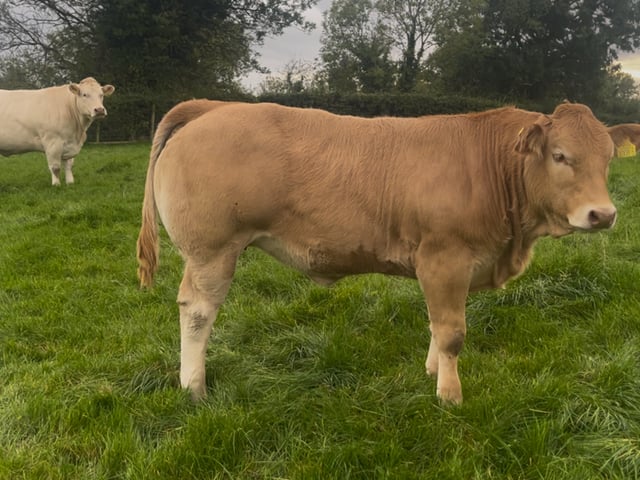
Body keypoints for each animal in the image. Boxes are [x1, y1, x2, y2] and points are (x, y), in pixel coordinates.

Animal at [136, 100, 617, 405]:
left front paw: (433, 371)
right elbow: (452, 332)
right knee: (197, 312)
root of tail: (213, 106)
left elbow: (437, 323)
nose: (603, 214)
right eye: (560, 155)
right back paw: (193, 387)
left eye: (609, 158)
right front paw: (450, 396)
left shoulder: (440, 266)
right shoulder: (445, 258)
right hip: (212, 251)